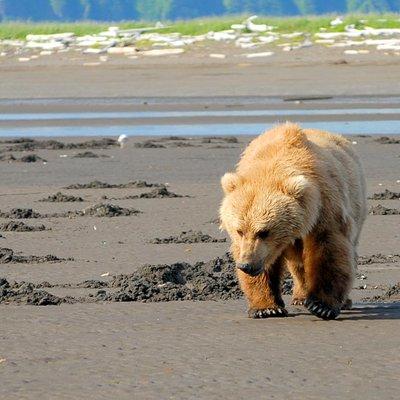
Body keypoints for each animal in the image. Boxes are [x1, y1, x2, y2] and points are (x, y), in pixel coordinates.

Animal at [220, 123, 368, 320]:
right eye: (239, 230)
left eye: (264, 232)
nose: (246, 265)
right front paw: (266, 307)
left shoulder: (325, 208)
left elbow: (328, 249)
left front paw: (322, 306)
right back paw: (300, 296)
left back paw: (341, 301)